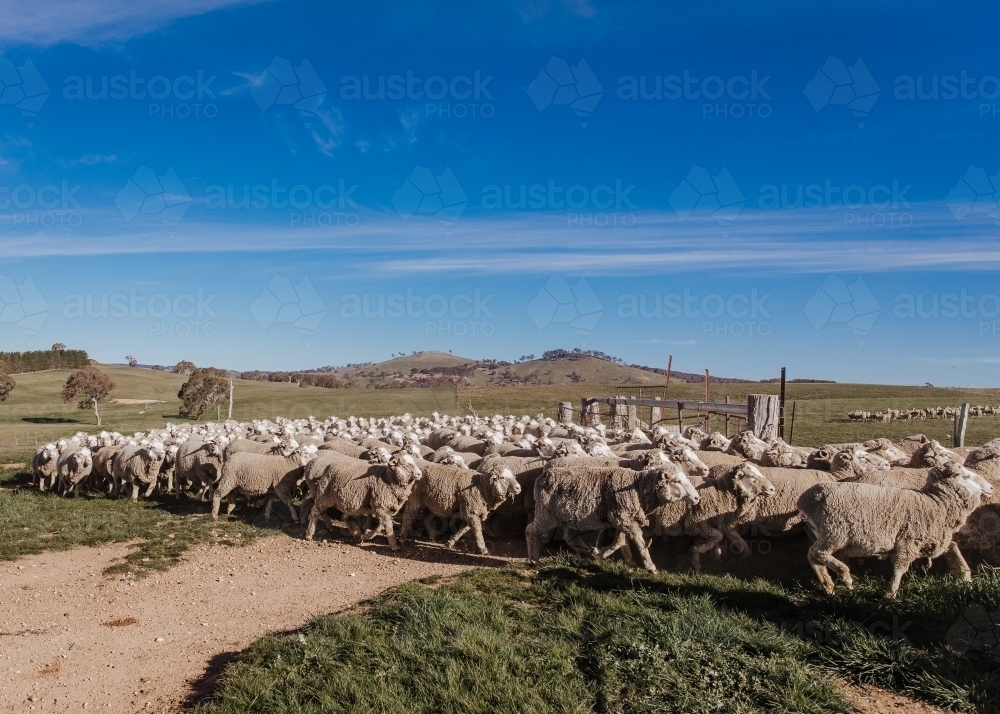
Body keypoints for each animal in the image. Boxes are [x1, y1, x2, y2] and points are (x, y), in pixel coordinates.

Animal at [528, 462, 700, 572]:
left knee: (567, 536)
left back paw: (586, 551)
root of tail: (542, 476)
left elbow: (620, 541)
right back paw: (533, 559)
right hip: (546, 514)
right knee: (531, 530)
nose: (697, 498)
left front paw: (609, 555)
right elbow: (637, 539)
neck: (638, 487)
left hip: (566, 517)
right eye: (677, 481)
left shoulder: (623, 517)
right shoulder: (621, 517)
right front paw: (650, 566)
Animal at [796, 458, 992, 592]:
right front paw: (890, 593)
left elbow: (952, 546)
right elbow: (900, 567)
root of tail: (806, 499)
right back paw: (845, 576)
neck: (936, 503)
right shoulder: (908, 542)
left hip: (826, 534)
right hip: (835, 533)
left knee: (813, 556)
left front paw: (965, 574)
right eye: (965, 476)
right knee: (818, 553)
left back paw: (828, 585)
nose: (990, 488)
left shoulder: (934, 538)